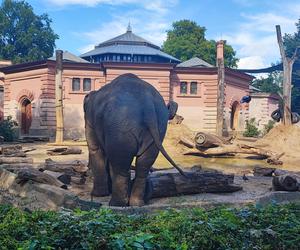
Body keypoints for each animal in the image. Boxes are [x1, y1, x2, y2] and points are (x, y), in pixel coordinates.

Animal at [82, 73, 185, 206]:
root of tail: (146, 102)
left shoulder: (90, 120)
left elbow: (95, 149)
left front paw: (98, 195)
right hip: (159, 124)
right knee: (144, 163)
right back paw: (137, 203)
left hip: (120, 124)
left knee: (120, 163)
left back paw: (116, 204)